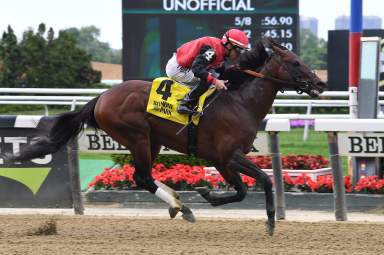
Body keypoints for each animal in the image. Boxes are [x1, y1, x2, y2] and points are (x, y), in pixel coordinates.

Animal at [3, 37, 328, 235]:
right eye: (295, 62)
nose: (320, 84)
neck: (240, 102)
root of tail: (103, 97)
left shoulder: (222, 161)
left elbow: (241, 191)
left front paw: (208, 194)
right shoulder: (229, 156)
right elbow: (264, 181)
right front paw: (270, 222)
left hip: (153, 141)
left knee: (144, 177)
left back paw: (178, 203)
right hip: (136, 136)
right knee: (143, 177)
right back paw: (181, 207)